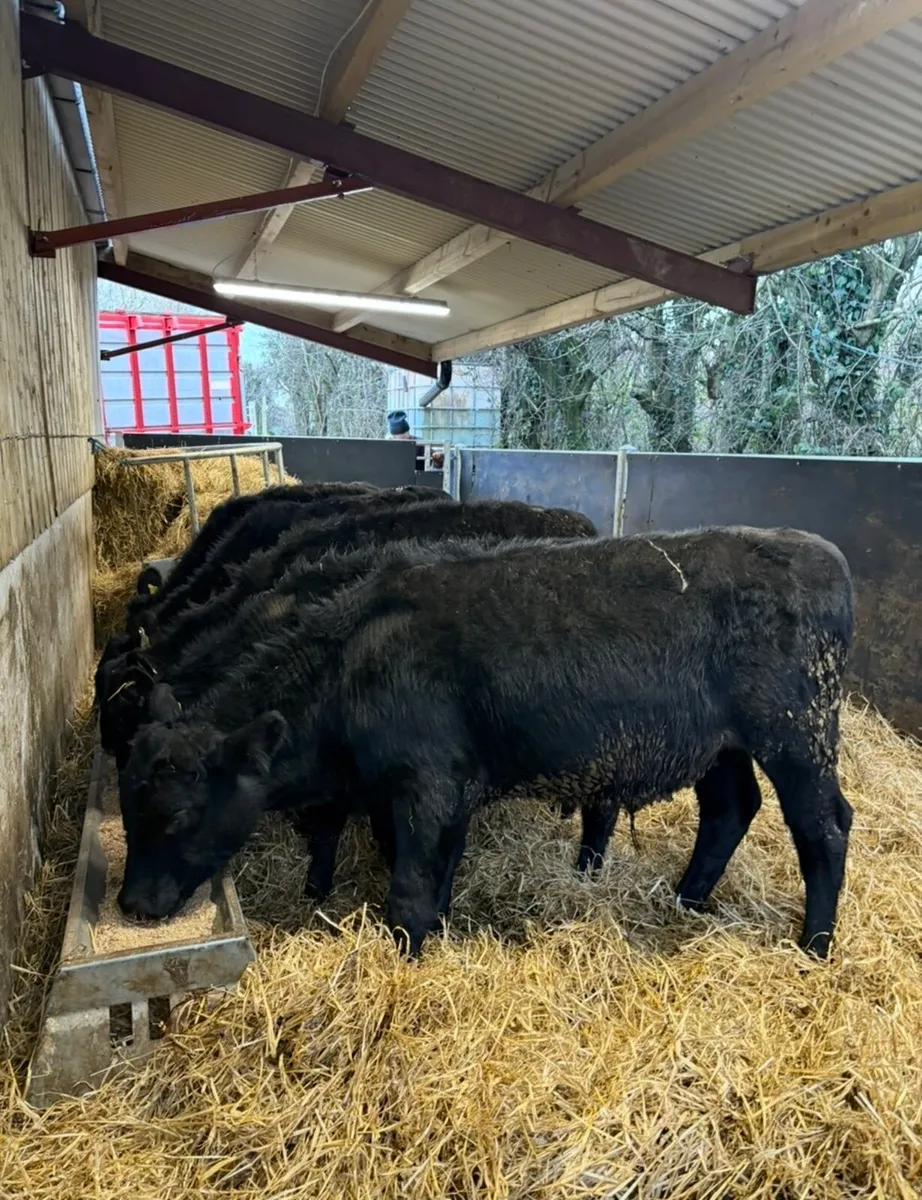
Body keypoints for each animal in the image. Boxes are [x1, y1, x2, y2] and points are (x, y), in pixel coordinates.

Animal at [116, 527, 854, 960]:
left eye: (177, 814)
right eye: (127, 807)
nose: (131, 904)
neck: (353, 659)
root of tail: (818, 548)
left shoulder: (428, 785)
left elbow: (410, 891)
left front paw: (407, 960)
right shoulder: (448, 793)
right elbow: (437, 877)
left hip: (796, 731)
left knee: (824, 826)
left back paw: (815, 945)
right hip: (721, 745)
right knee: (730, 809)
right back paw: (686, 900)